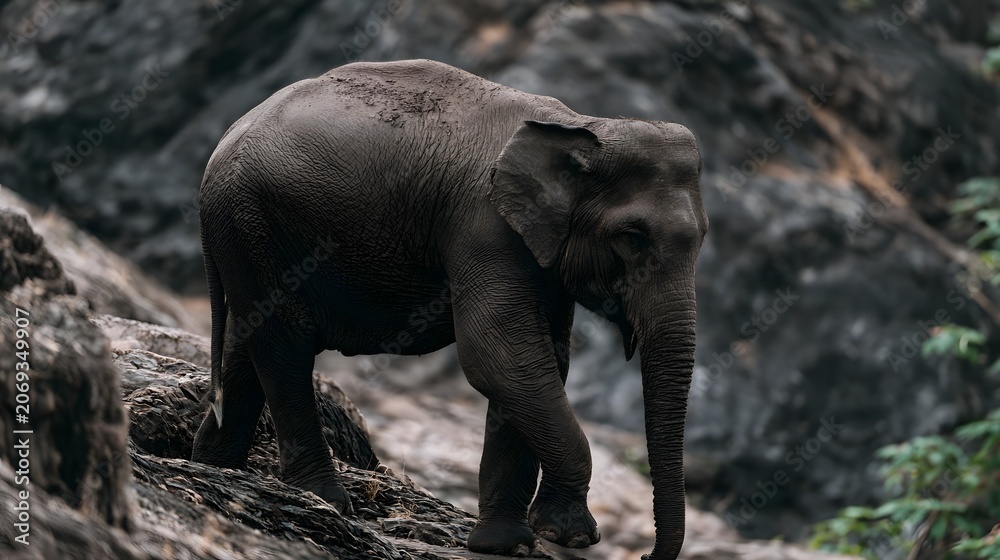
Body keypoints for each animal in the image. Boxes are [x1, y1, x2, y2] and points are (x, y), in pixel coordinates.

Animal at [191, 58, 708, 559]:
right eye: (632, 238)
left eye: (703, 237)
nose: (646, 557)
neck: (579, 124)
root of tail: (216, 155)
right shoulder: (484, 228)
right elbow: (498, 354)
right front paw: (568, 536)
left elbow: (539, 361)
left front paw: (508, 546)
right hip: (255, 223)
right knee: (286, 347)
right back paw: (325, 500)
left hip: (247, 234)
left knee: (247, 343)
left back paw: (215, 467)